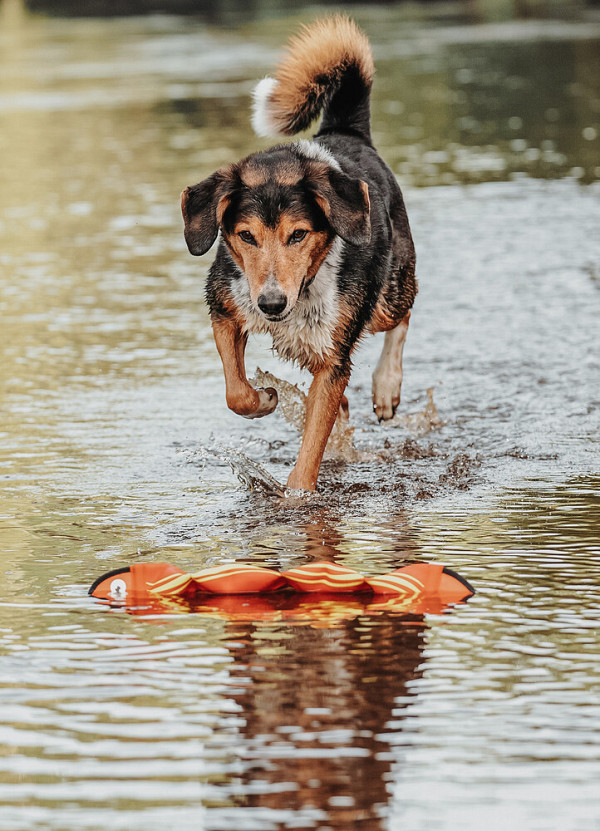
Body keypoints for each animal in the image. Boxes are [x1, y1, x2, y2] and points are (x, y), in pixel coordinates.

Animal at [182, 16, 418, 490]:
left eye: (299, 235)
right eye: (245, 236)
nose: (271, 304)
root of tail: (345, 132)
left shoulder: (334, 358)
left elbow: (312, 446)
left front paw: (297, 495)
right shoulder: (225, 307)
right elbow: (236, 392)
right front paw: (265, 399)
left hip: (388, 292)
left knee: (401, 317)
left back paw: (387, 387)